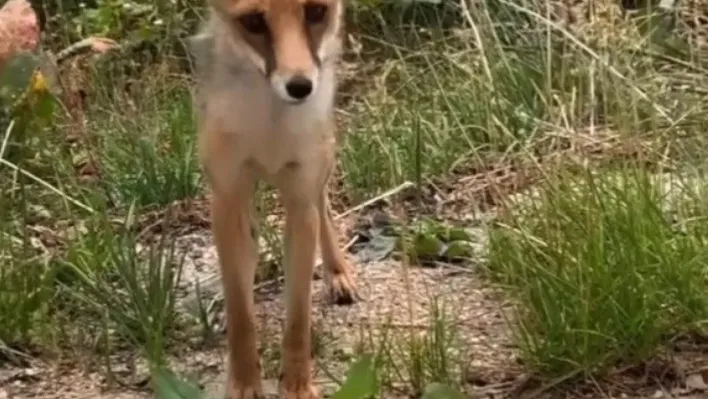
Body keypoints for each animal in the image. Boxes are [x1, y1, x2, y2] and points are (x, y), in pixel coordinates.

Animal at [188, 0, 356, 398]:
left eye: (316, 12)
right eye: (253, 22)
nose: (300, 86)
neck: (270, 130)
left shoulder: (300, 204)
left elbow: (297, 319)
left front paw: (297, 385)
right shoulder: (227, 202)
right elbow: (241, 316)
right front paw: (244, 383)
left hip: (321, 166)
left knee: (324, 206)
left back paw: (337, 272)